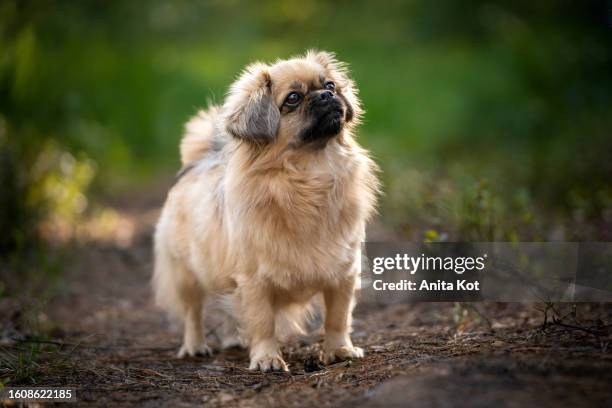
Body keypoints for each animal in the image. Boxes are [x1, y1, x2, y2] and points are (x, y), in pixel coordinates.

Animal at [154, 49, 378, 372]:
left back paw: (233, 341)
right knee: (193, 313)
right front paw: (267, 358)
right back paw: (195, 346)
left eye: (331, 85)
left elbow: (337, 318)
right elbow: (262, 323)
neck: (309, 176)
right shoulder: (254, 281)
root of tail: (200, 161)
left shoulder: (343, 274)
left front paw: (339, 350)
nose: (325, 95)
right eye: (293, 98)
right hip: (187, 276)